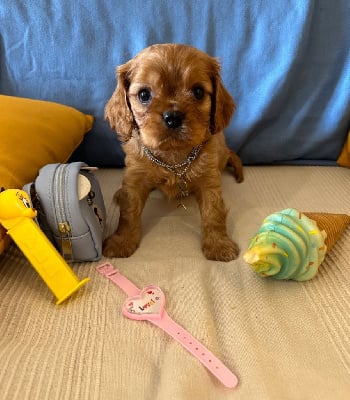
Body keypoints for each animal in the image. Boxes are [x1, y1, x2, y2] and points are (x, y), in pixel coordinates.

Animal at [104, 44, 243, 262]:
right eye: (144, 95)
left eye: (198, 91)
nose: (173, 117)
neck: (173, 158)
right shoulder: (135, 179)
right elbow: (129, 211)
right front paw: (122, 242)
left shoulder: (209, 181)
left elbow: (213, 212)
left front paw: (218, 245)